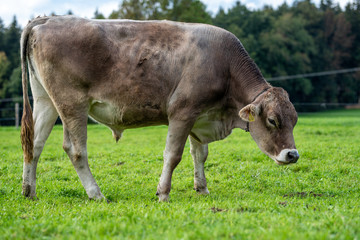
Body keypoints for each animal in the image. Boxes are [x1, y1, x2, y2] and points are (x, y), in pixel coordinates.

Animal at [21, 15, 300, 202]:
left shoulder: (200, 115)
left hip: (46, 100)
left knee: (34, 144)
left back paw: (29, 190)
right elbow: (173, 155)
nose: (293, 155)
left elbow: (200, 154)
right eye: (273, 120)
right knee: (76, 150)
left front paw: (202, 188)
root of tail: (47, 19)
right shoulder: (183, 111)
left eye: (295, 120)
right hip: (72, 103)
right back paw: (96, 193)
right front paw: (163, 193)